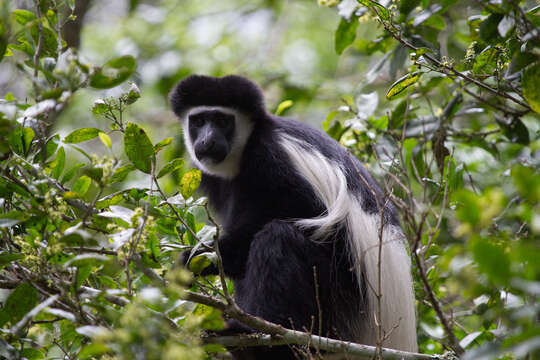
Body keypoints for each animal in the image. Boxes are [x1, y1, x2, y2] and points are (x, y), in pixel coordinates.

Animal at [171, 74, 416, 358]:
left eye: (223, 121)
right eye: (198, 121)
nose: (207, 140)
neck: (245, 151)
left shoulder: (273, 158)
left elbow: (304, 215)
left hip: (339, 300)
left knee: (280, 238)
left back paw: (255, 333)